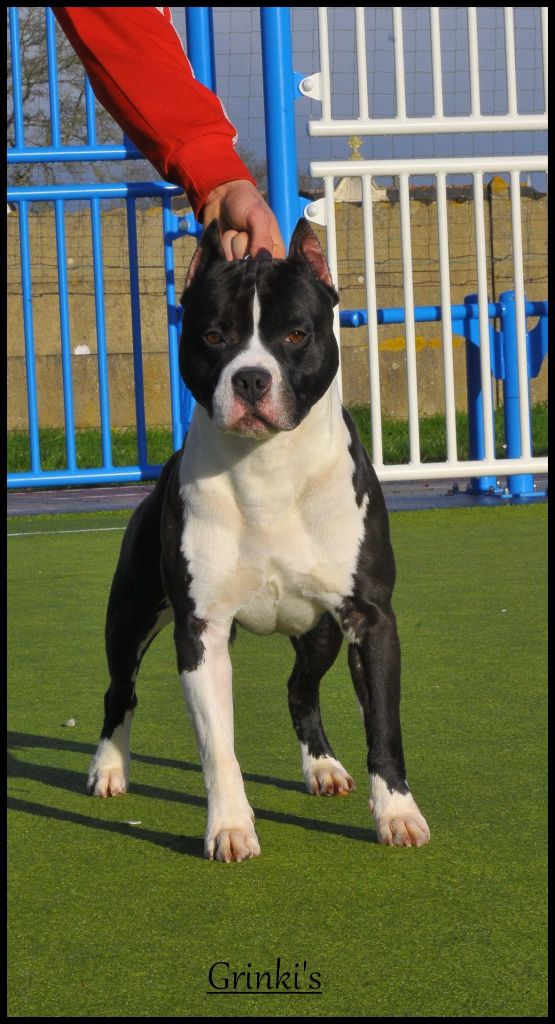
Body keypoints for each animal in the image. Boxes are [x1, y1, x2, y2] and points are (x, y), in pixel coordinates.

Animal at [87, 218, 430, 861]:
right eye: (212, 335)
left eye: (296, 333)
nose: (251, 377)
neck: (268, 468)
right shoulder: (201, 631)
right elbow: (217, 747)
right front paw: (229, 826)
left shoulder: (370, 619)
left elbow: (384, 727)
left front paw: (397, 814)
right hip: (130, 616)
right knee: (120, 690)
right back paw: (110, 767)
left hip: (320, 632)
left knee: (301, 688)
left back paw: (323, 768)